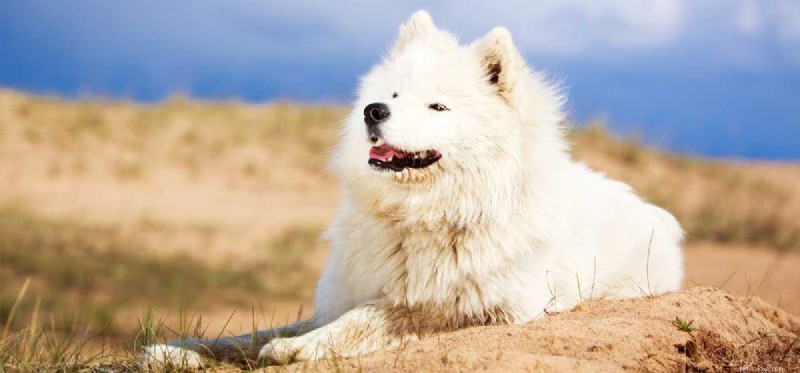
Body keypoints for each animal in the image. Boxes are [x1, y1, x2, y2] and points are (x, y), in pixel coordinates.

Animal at [142, 10, 680, 368]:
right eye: (394, 94)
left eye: (437, 106)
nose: (373, 110)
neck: (423, 216)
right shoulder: (343, 295)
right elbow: (248, 336)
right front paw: (176, 351)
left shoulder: (488, 309)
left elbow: (380, 316)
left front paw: (298, 350)